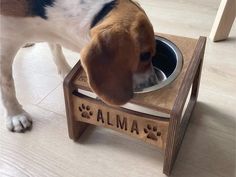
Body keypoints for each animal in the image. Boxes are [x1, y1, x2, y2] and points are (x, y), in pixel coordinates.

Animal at [1, 0, 159, 132]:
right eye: (145, 55)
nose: (153, 82)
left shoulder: (51, 34)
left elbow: (56, 50)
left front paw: (66, 71)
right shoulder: (5, 46)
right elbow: (7, 84)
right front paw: (15, 114)